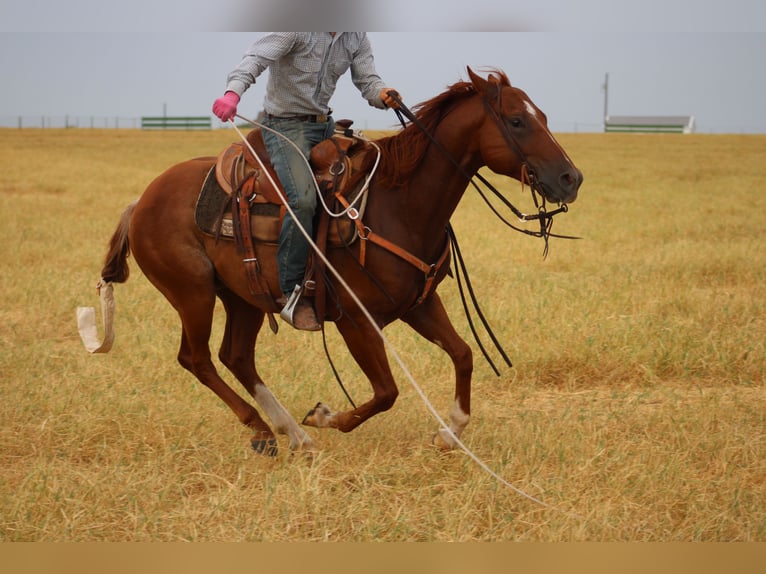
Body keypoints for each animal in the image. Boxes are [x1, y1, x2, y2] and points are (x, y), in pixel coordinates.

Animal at [94, 67, 582, 455]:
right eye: (516, 121)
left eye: (543, 116)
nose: (570, 178)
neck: (399, 205)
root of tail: (141, 201)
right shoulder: (356, 321)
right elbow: (386, 392)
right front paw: (325, 416)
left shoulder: (419, 304)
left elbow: (462, 355)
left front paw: (450, 432)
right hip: (193, 294)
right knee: (196, 359)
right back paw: (263, 429)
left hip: (243, 297)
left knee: (236, 357)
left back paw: (292, 434)